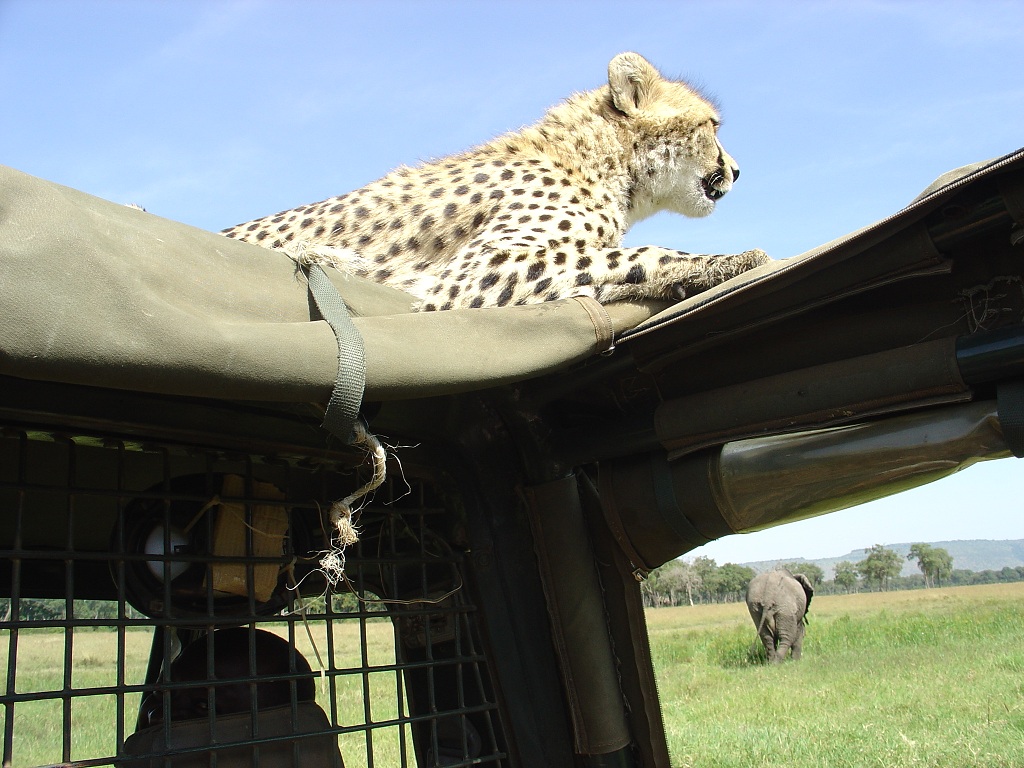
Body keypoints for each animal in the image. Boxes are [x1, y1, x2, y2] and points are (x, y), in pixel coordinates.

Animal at [224, 51, 770, 313]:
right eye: (713, 126)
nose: (737, 169)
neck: (596, 163)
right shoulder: (469, 276)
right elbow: (629, 255)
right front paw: (727, 259)